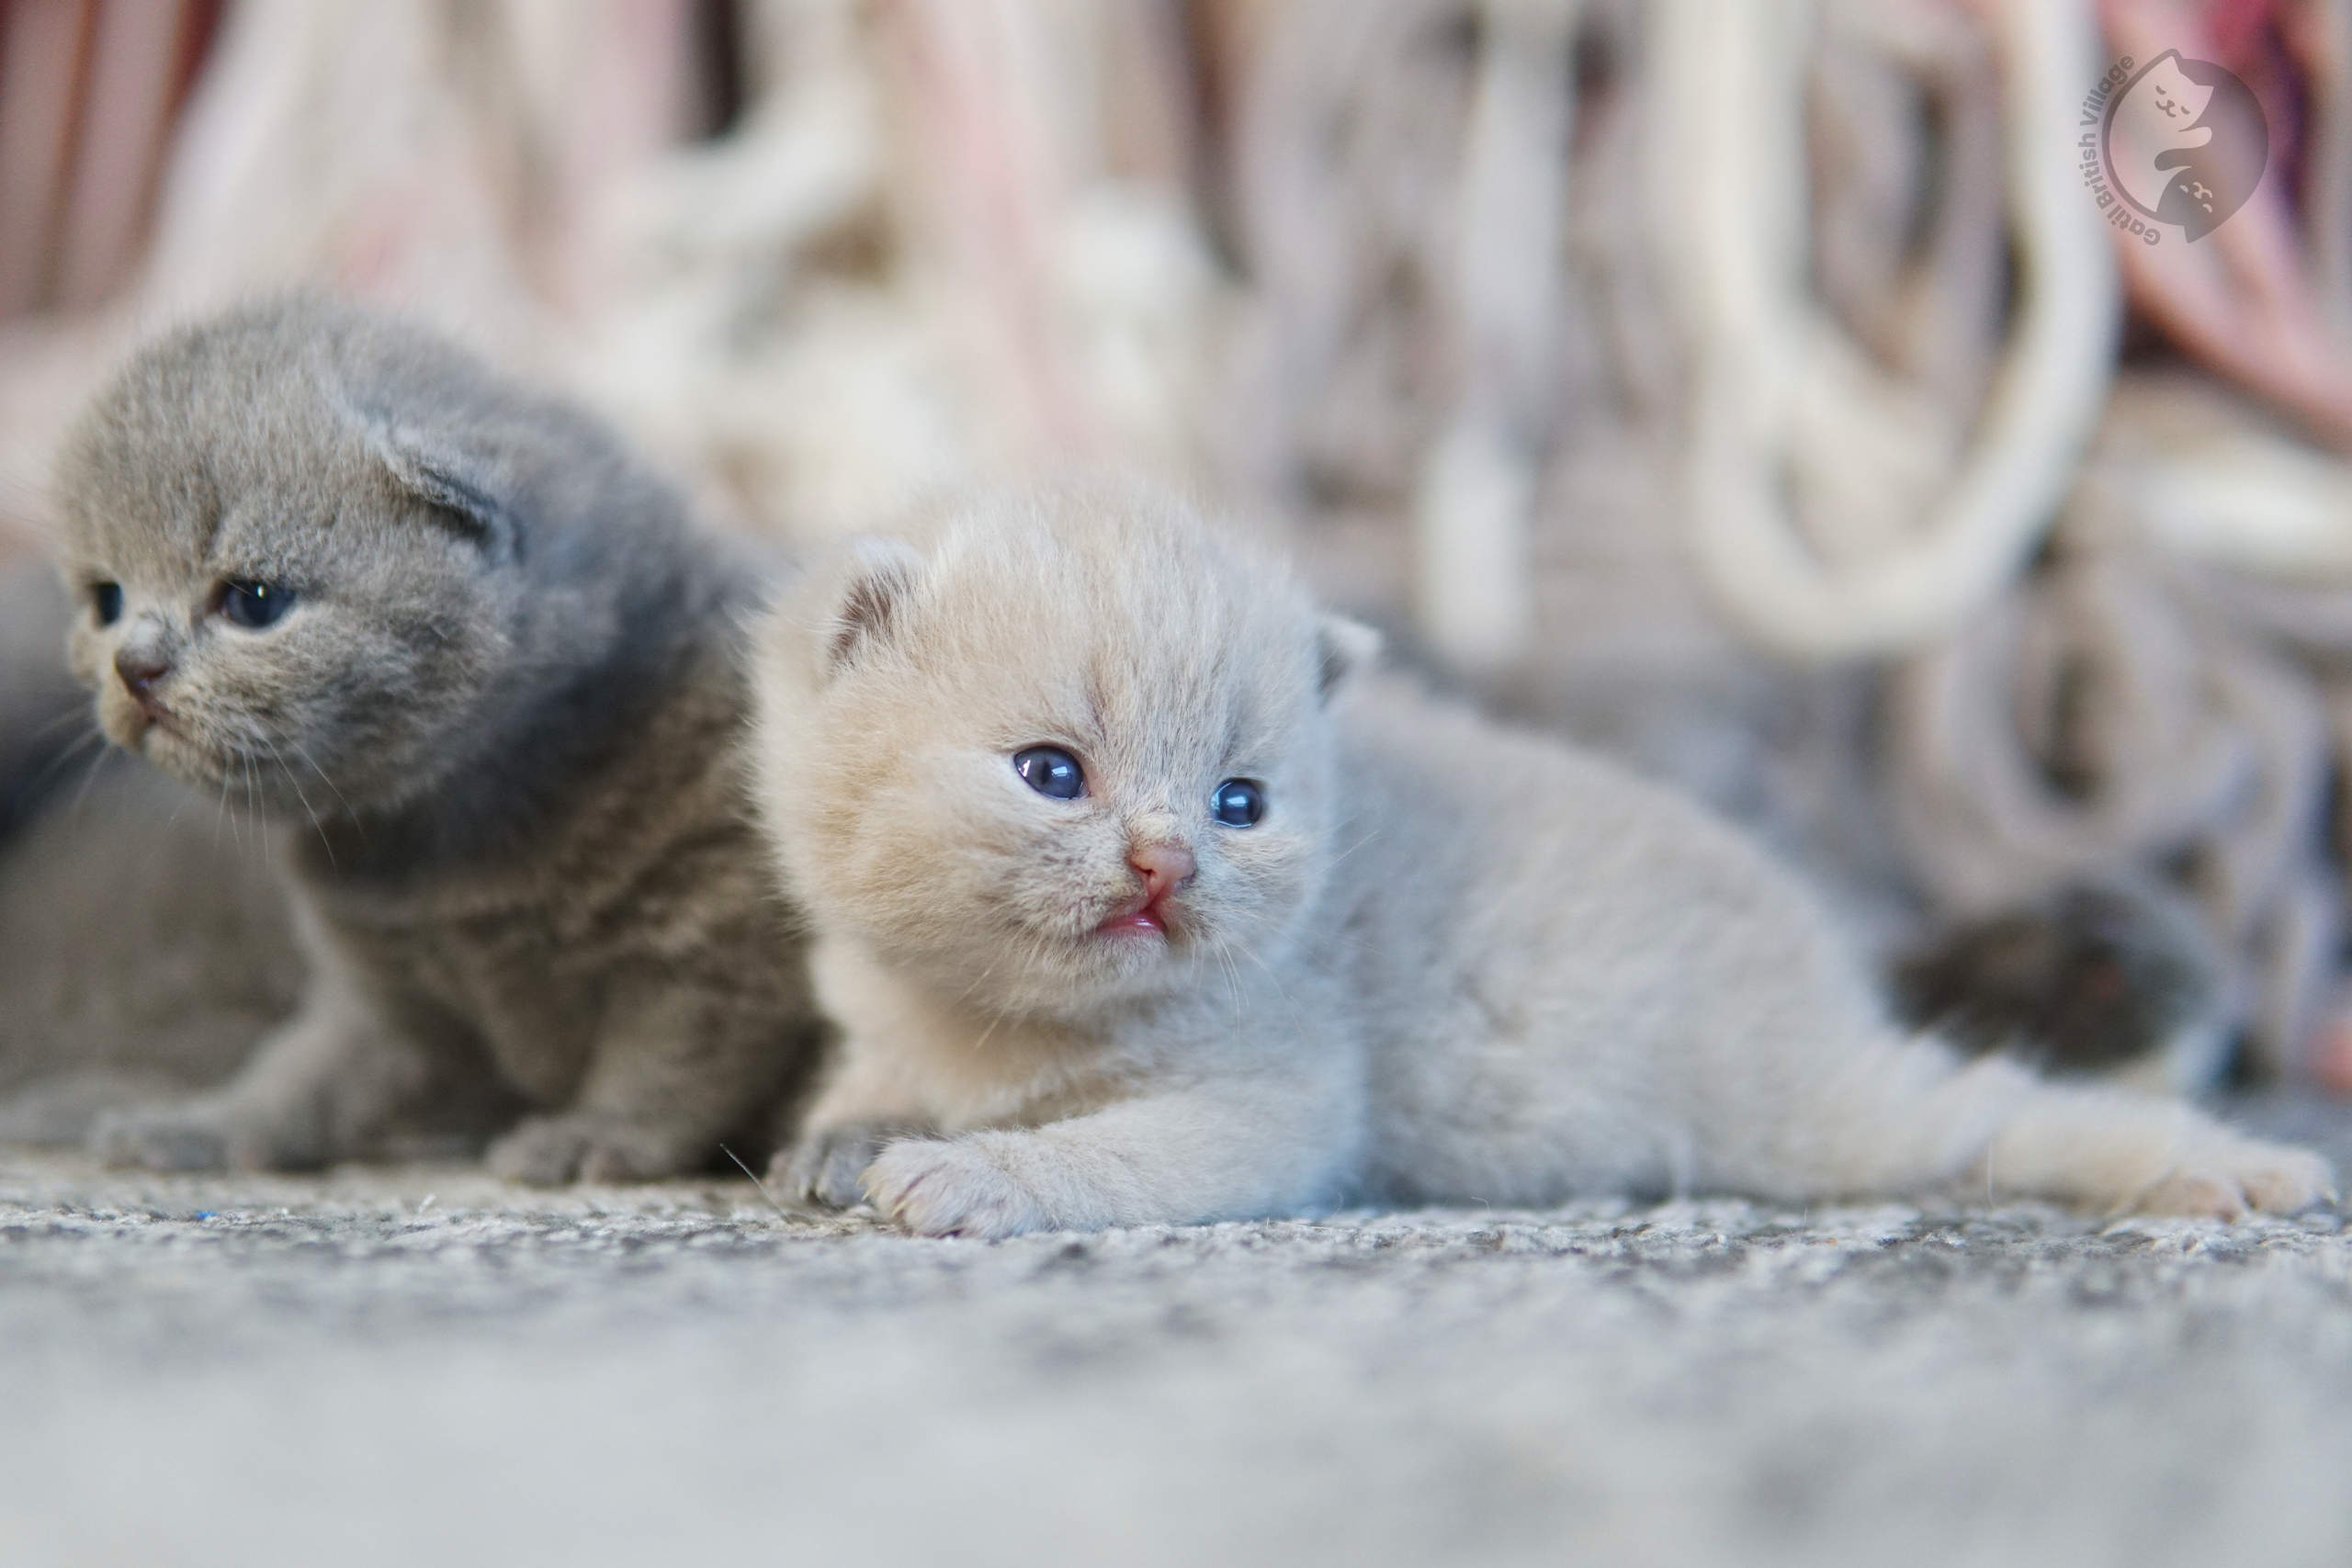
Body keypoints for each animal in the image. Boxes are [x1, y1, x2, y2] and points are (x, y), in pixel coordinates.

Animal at [52, 293, 818, 1184]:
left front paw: (590, 1135)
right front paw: (205, 1125)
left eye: (253, 600)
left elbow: (667, 1061)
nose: (133, 667)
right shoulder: (388, 987)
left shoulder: (719, 941)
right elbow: (305, 1071)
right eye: (106, 598)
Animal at [752, 481, 2333, 1241]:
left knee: (1989, 1110)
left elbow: (1121, 1149)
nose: (1164, 864)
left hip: (1792, 1101)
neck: (991, 1026)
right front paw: (844, 1138)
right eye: (1054, 773)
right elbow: (859, 1087)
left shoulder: (1284, 1089)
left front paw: (976, 1176)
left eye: (1240, 800)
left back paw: (2223, 1169)